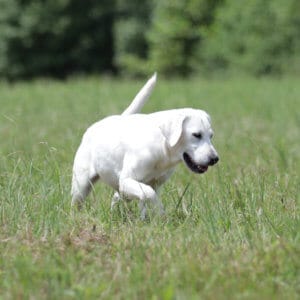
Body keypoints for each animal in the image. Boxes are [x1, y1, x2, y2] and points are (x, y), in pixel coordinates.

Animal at [72, 72, 219, 218]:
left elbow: (146, 199)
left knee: (117, 197)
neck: (162, 150)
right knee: (77, 203)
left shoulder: (155, 184)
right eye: (196, 135)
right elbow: (149, 194)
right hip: (81, 185)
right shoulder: (126, 181)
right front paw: (161, 213)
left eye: (211, 136)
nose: (215, 159)